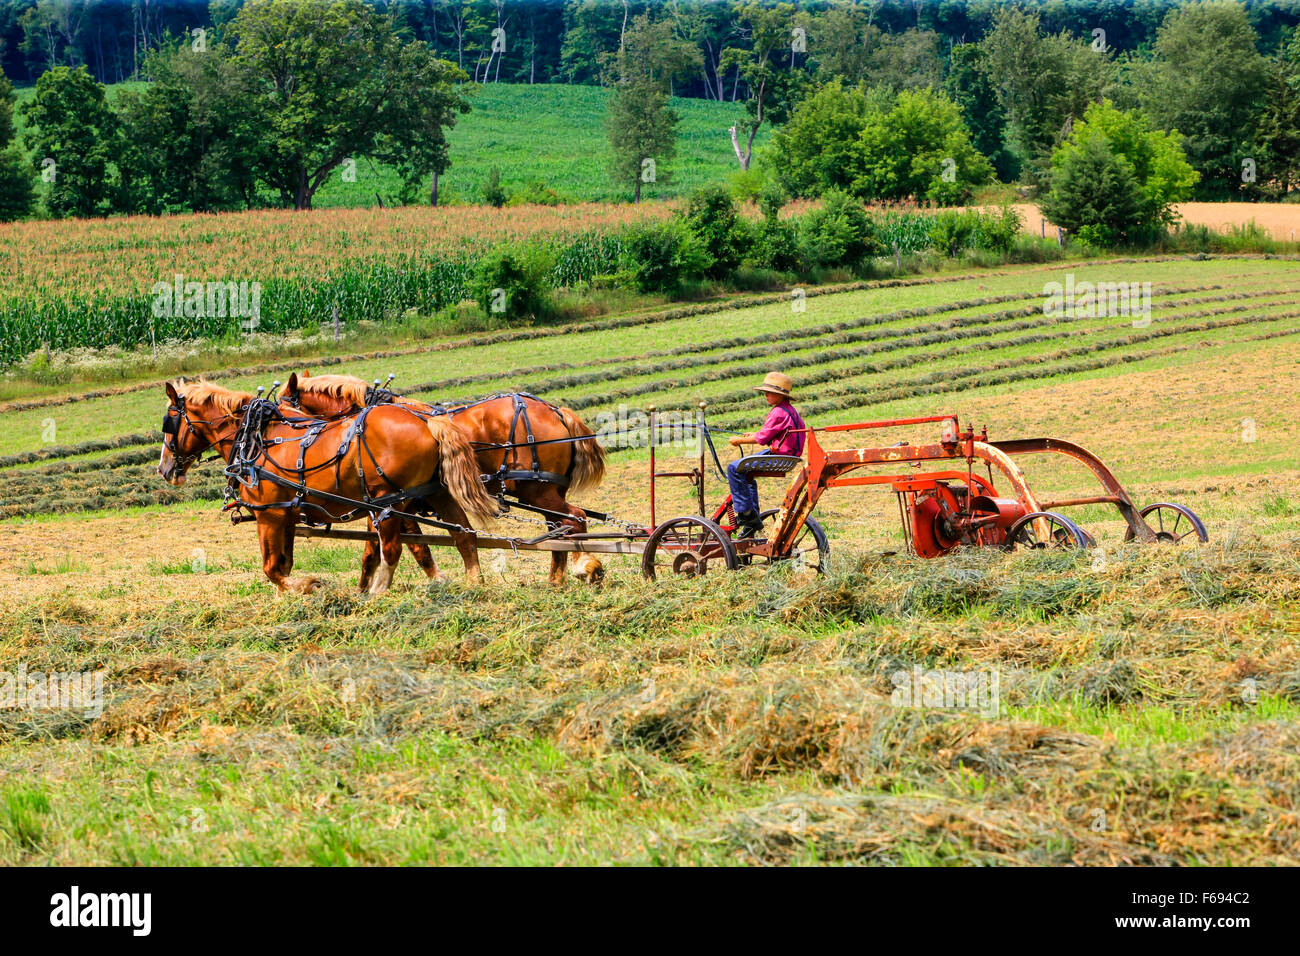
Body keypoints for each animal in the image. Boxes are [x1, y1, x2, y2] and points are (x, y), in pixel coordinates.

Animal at [153, 379, 496, 590]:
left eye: (169, 422)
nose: (164, 468)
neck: (256, 439)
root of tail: (428, 420)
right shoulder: (287, 515)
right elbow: (284, 564)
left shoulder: (269, 514)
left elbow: (272, 568)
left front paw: (309, 587)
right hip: (436, 492)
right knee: (464, 535)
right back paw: (474, 586)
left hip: (388, 502)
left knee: (393, 549)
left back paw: (378, 594)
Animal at [282, 371, 605, 582]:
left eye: (286, 405)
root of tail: (555, 410)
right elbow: (375, 551)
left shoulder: (396, 504)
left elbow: (415, 549)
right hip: (544, 493)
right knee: (559, 530)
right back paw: (556, 582)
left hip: (536, 491)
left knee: (575, 519)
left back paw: (586, 567)